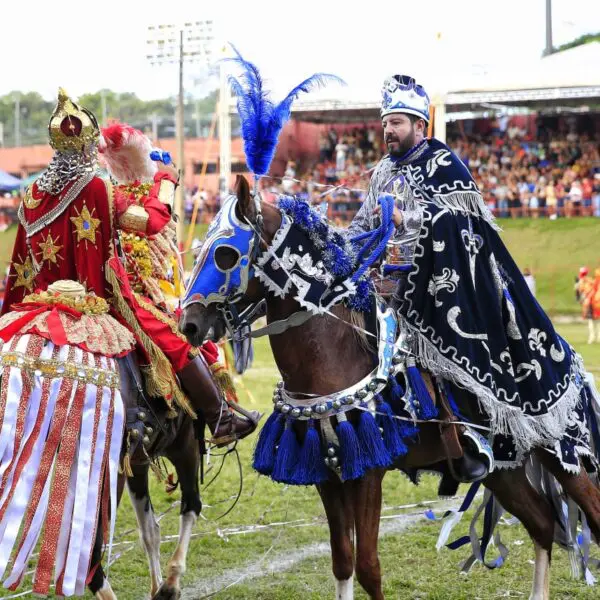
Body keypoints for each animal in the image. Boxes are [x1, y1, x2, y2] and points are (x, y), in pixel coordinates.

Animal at [180, 177, 600, 600]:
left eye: (226, 255)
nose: (188, 324)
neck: (333, 355)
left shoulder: (368, 474)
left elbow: (368, 566)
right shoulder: (327, 476)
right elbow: (342, 561)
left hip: (561, 454)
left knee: (587, 514)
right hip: (502, 466)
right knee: (542, 524)